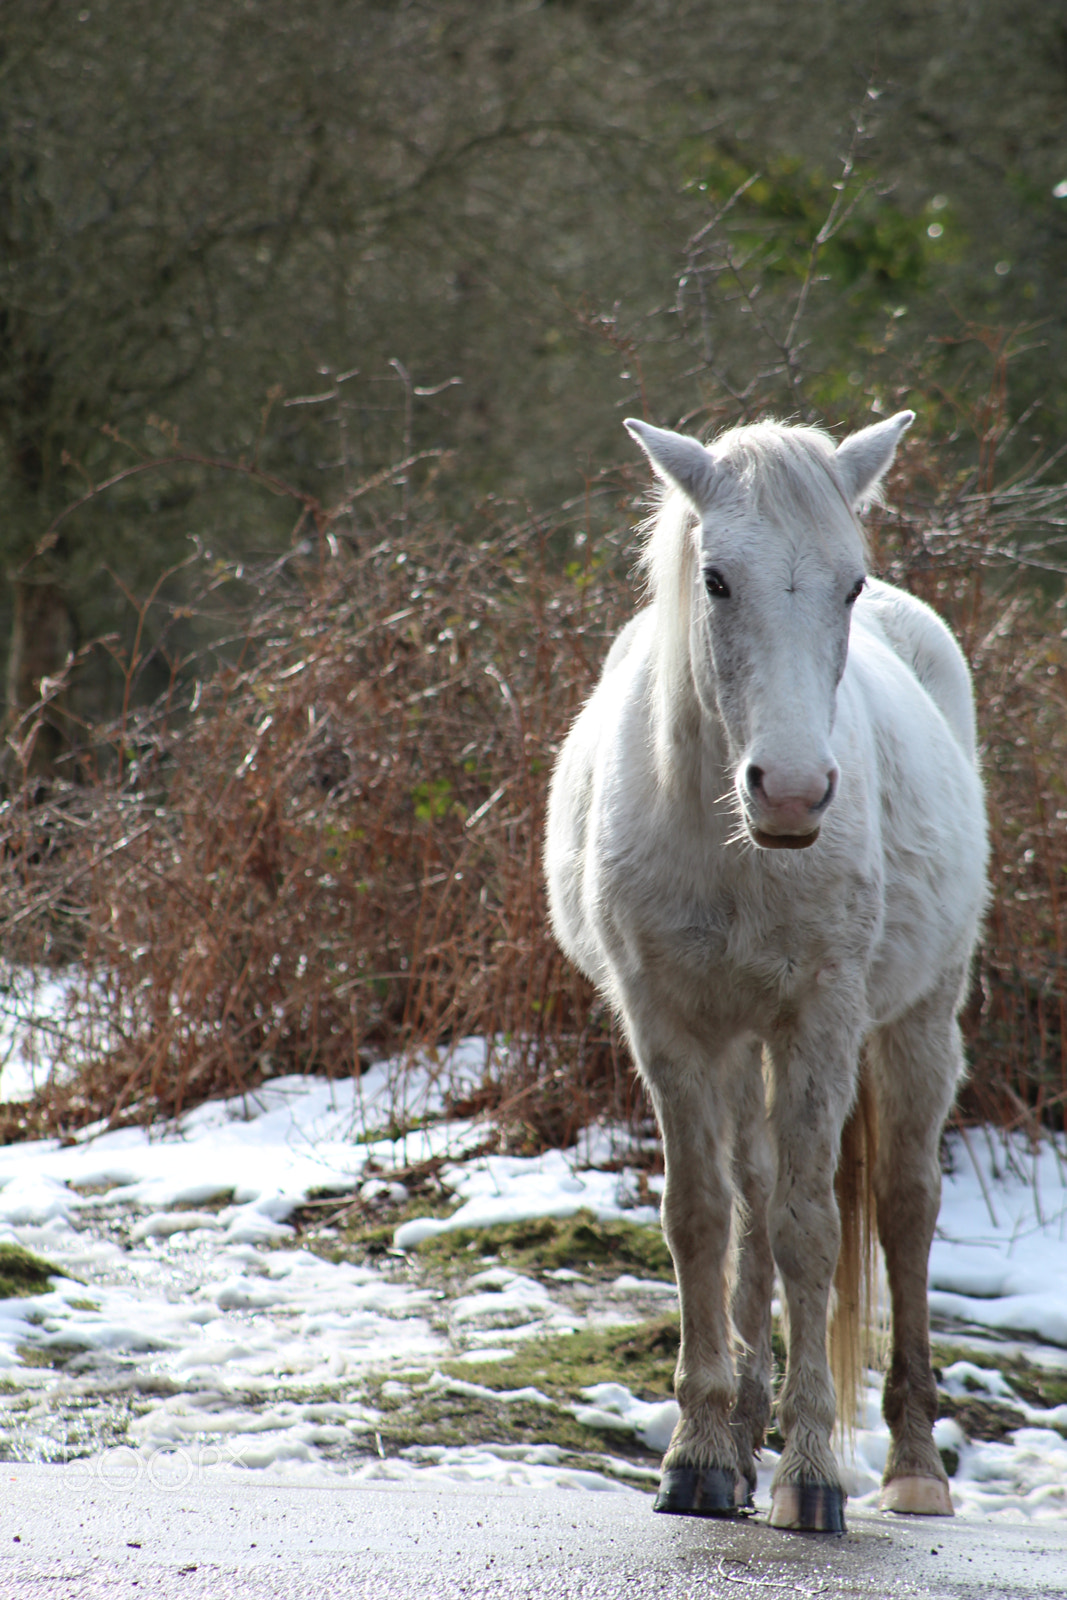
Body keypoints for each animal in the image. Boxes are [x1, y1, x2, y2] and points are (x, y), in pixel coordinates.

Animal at [545, 411, 987, 1533]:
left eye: (849, 583)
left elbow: (806, 1228)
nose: (788, 793)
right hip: (739, 1040)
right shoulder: (666, 1023)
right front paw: (700, 1455)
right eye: (716, 580)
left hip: (919, 1021)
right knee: (746, 1195)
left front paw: (812, 1474)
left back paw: (911, 1465)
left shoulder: (819, 1020)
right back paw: (742, 1435)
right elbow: (703, 1218)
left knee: (903, 1207)